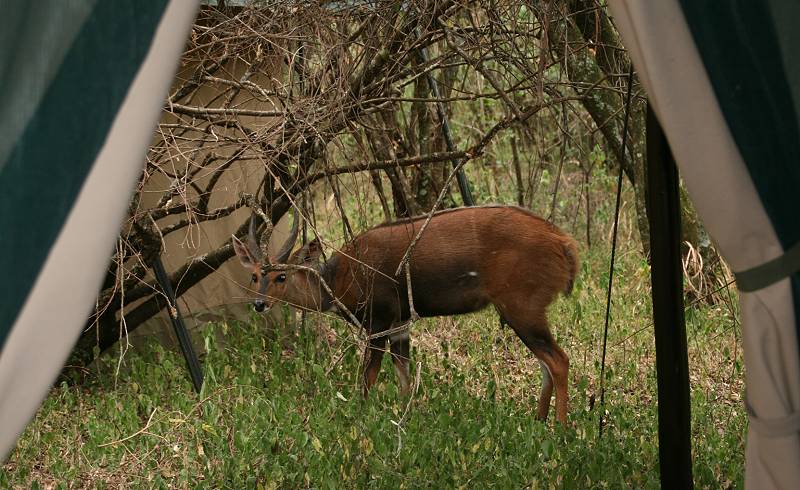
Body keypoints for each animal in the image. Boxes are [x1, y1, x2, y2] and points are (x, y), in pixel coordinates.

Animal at [234, 205, 580, 424]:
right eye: (255, 275)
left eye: (281, 276)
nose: (259, 304)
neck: (338, 280)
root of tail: (563, 242)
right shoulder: (400, 325)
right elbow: (403, 375)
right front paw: (407, 416)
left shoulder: (377, 322)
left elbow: (369, 376)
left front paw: (360, 416)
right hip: (523, 312)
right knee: (546, 363)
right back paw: (538, 421)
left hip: (522, 307)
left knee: (558, 360)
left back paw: (560, 430)